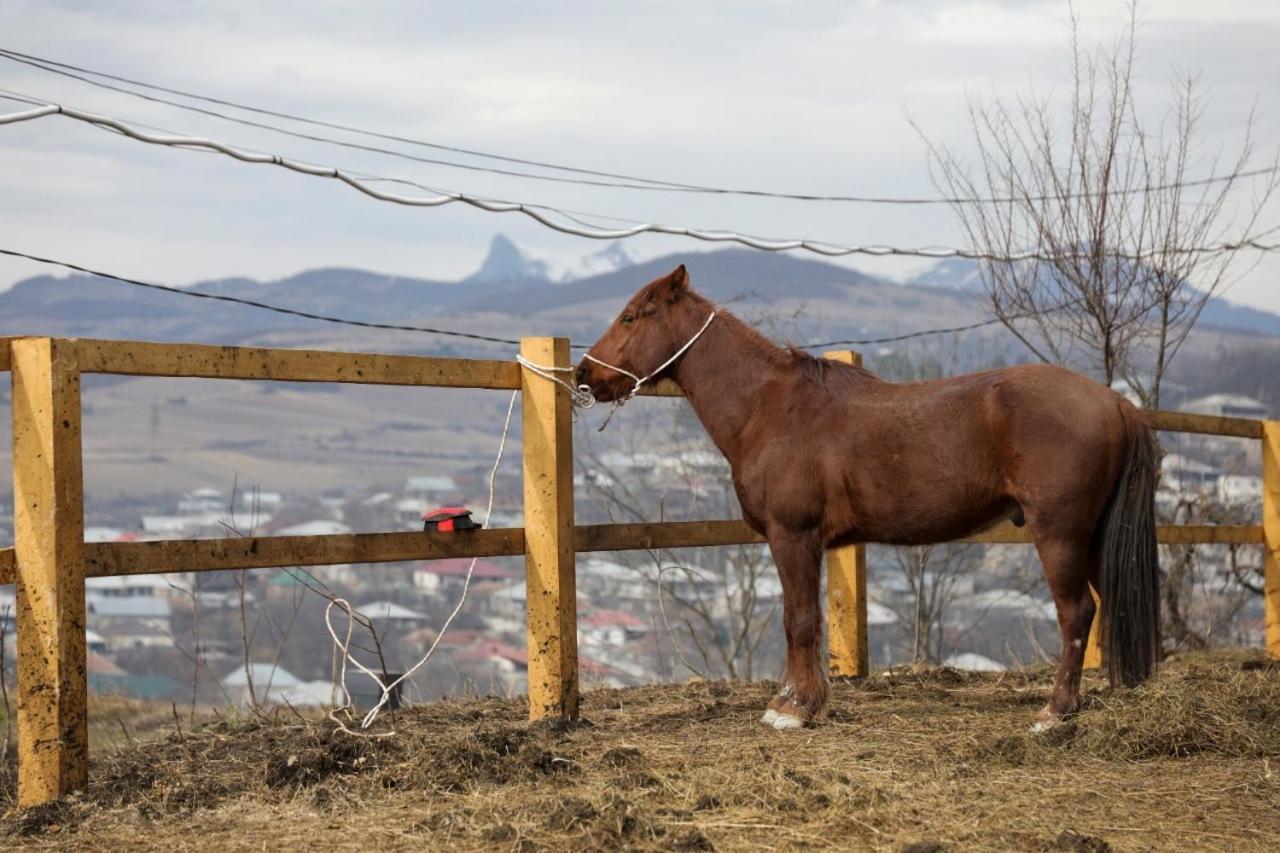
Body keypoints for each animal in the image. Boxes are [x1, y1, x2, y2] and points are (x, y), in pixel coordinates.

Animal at [578, 267, 1162, 732]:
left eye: (631, 317)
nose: (585, 373)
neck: (768, 407)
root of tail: (1113, 401)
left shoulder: (793, 536)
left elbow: (799, 620)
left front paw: (794, 709)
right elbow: (802, 620)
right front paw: (801, 702)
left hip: (1059, 533)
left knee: (1076, 613)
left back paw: (1054, 712)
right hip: (1090, 536)